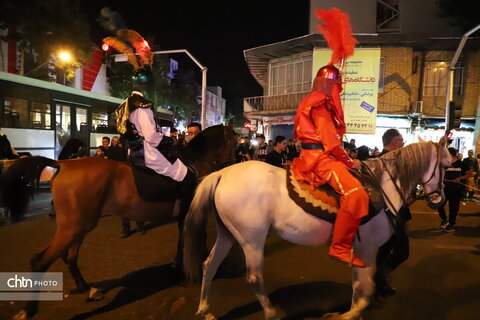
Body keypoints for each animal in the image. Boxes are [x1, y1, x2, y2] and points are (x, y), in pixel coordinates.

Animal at [0, 122, 236, 318]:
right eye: (234, 140)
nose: (234, 164)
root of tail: (63, 164)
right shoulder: (187, 211)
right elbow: (185, 239)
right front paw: (184, 270)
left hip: (79, 226)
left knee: (70, 256)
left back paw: (88, 289)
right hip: (74, 227)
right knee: (40, 260)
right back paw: (29, 310)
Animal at [182, 136, 452, 318]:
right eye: (445, 167)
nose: (439, 198)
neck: (381, 186)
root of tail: (221, 174)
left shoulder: (361, 250)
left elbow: (360, 285)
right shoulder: (367, 248)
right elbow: (364, 290)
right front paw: (350, 314)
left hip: (228, 234)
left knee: (209, 266)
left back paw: (205, 309)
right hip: (252, 239)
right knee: (254, 277)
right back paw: (271, 312)